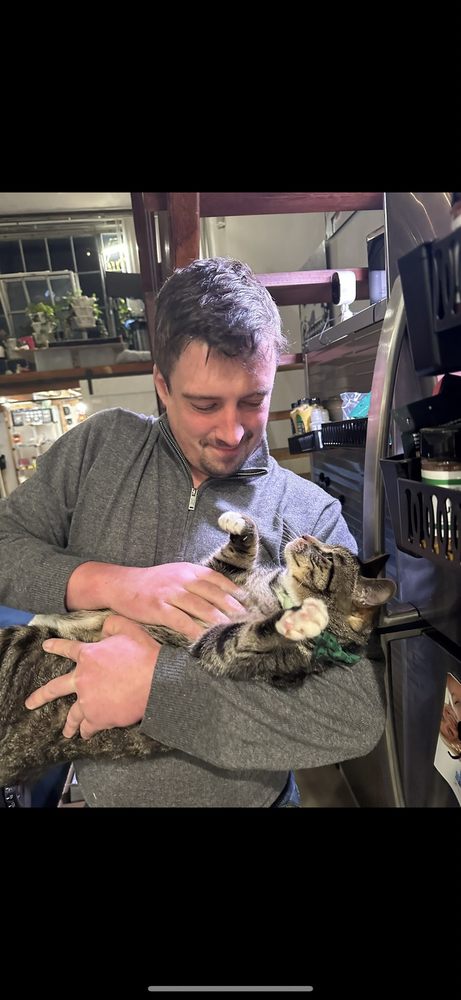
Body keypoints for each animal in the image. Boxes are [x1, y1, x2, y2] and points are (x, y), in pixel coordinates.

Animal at [0, 510, 395, 785]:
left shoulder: (222, 649)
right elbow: (235, 554)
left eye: (327, 557)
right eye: (324, 547)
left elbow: (254, 634)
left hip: (16, 646)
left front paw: (303, 619)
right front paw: (237, 521)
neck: (276, 591)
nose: (307, 534)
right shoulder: (222, 575)